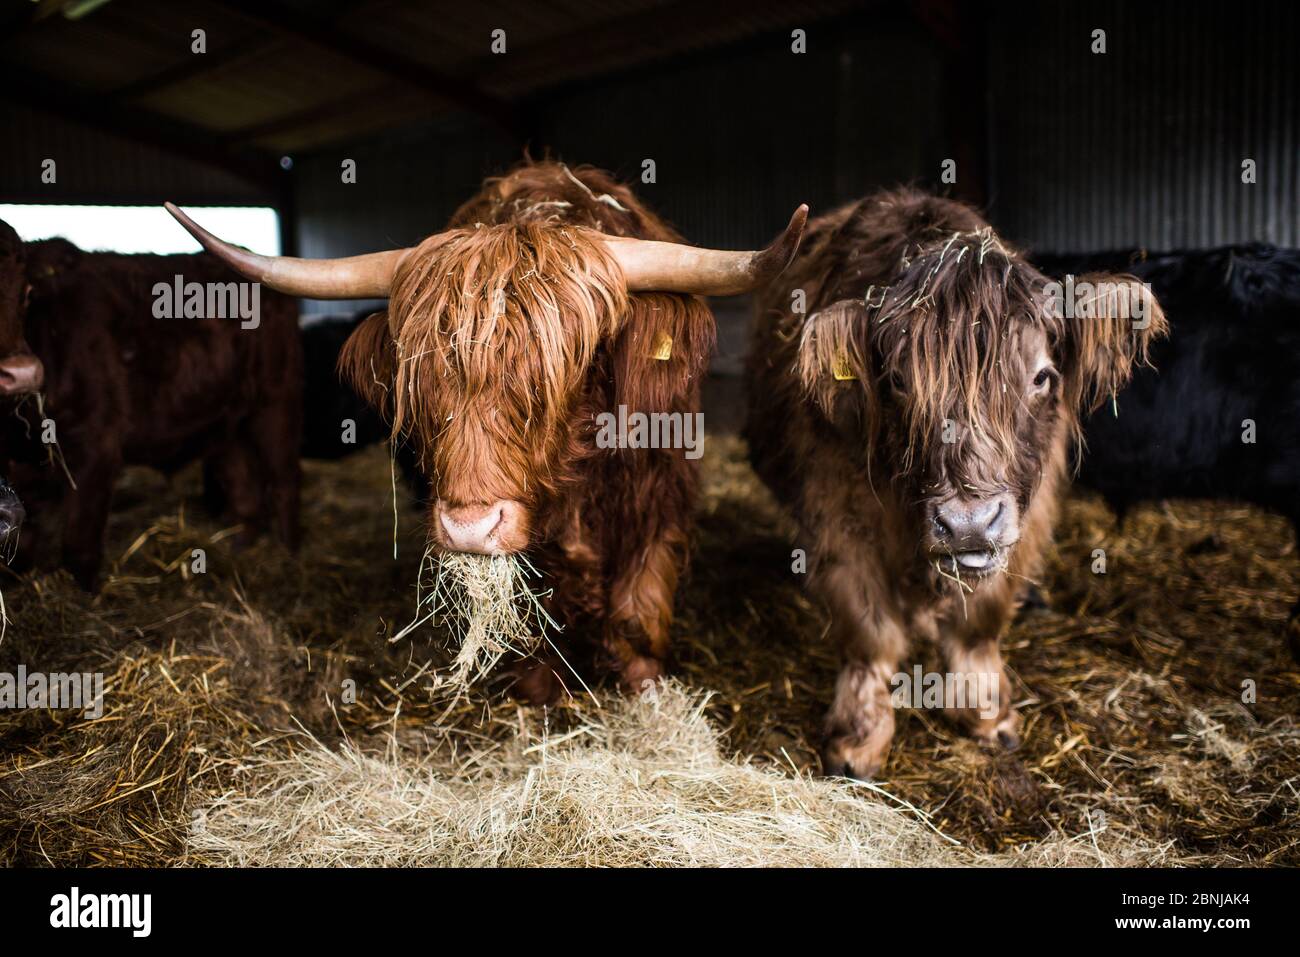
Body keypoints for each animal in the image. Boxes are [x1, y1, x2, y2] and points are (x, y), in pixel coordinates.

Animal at [165, 162, 800, 696]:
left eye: (571, 369)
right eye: (419, 379)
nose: (469, 528)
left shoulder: (658, 503)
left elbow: (637, 614)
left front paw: (647, 695)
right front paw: (535, 696)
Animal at [748, 188, 1164, 780]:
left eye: (1041, 376)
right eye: (898, 381)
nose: (968, 523)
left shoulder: (1024, 520)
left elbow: (979, 621)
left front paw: (987, 715)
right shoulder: (837, 515)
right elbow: (869, 630)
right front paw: (857, 742)